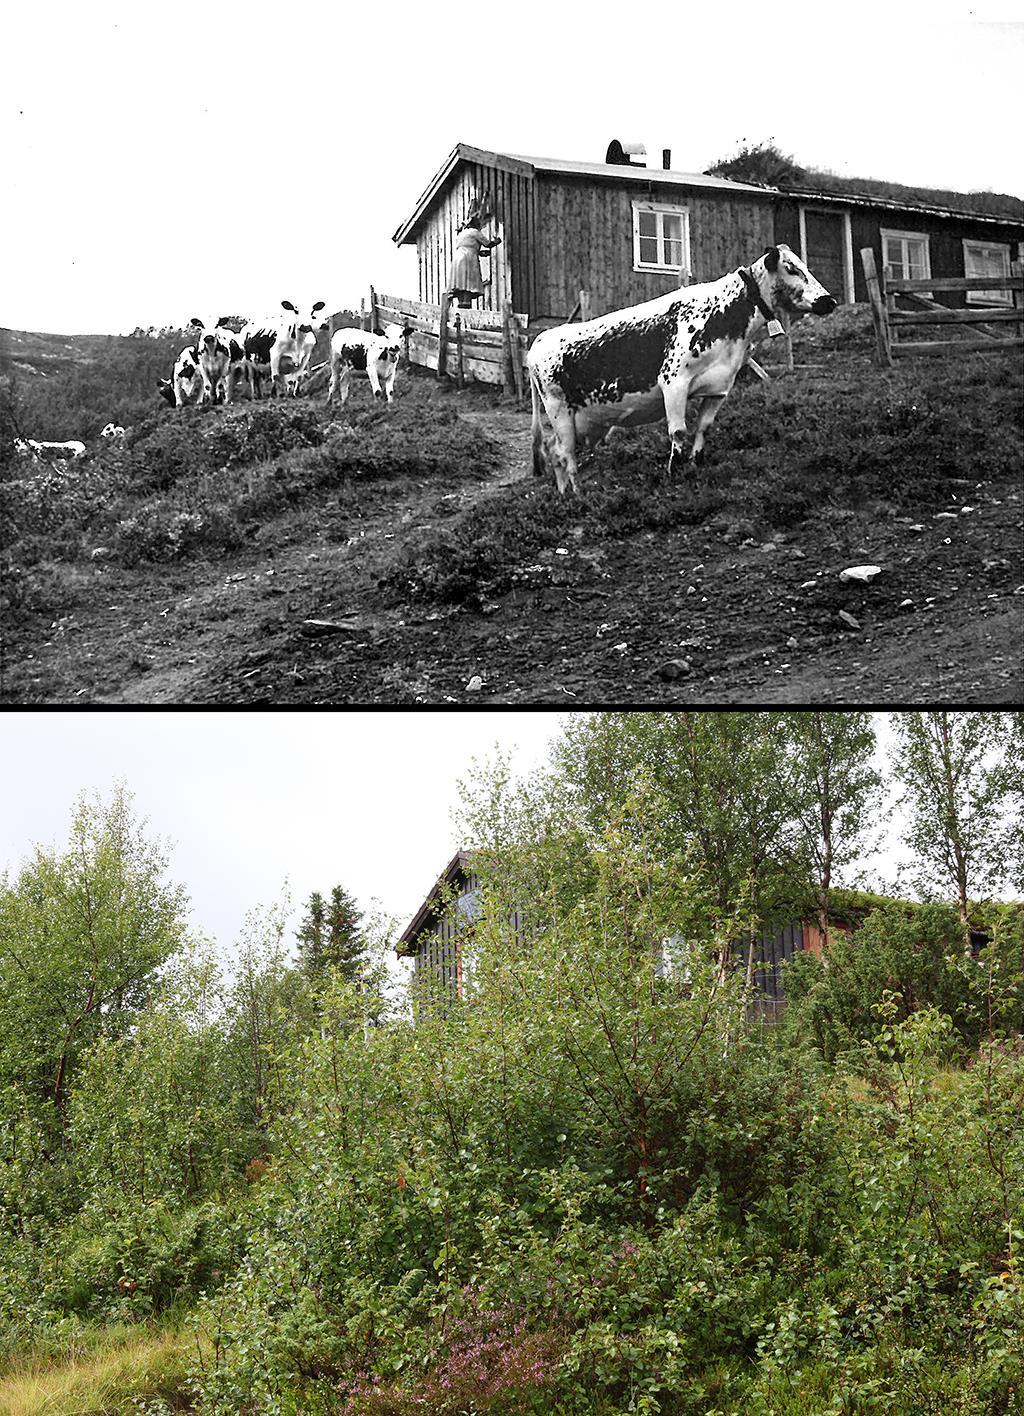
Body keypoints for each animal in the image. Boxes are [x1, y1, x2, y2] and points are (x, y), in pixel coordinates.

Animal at [532, 249, 838, 498]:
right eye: (792, 268)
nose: (829, 301)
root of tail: (540, 340)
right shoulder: (674, 382)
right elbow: (678, 432)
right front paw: (673, 474)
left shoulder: (720, 388)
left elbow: (704, 427)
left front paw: (695, 465)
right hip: (559, 410)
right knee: (565, 454)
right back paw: (577, 495)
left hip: (578, 420)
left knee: (552, 449)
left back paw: (563, 495)